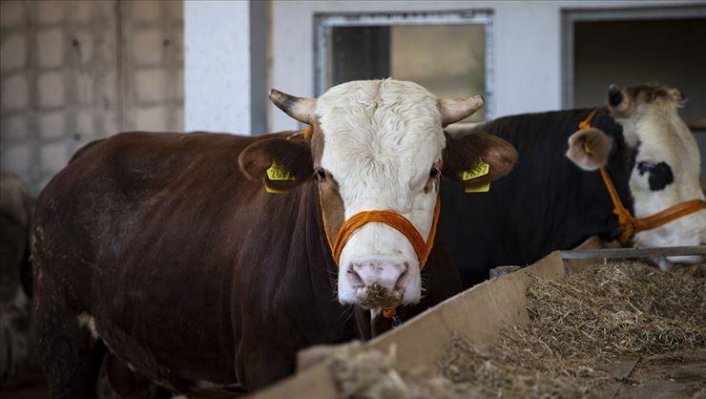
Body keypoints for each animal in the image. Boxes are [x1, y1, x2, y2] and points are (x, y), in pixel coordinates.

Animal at [31, 79, 516, 398]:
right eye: (322, 174)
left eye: (433, 171)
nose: (377, 275)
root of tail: (87, 154)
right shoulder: (265, 362)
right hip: (62, 341)